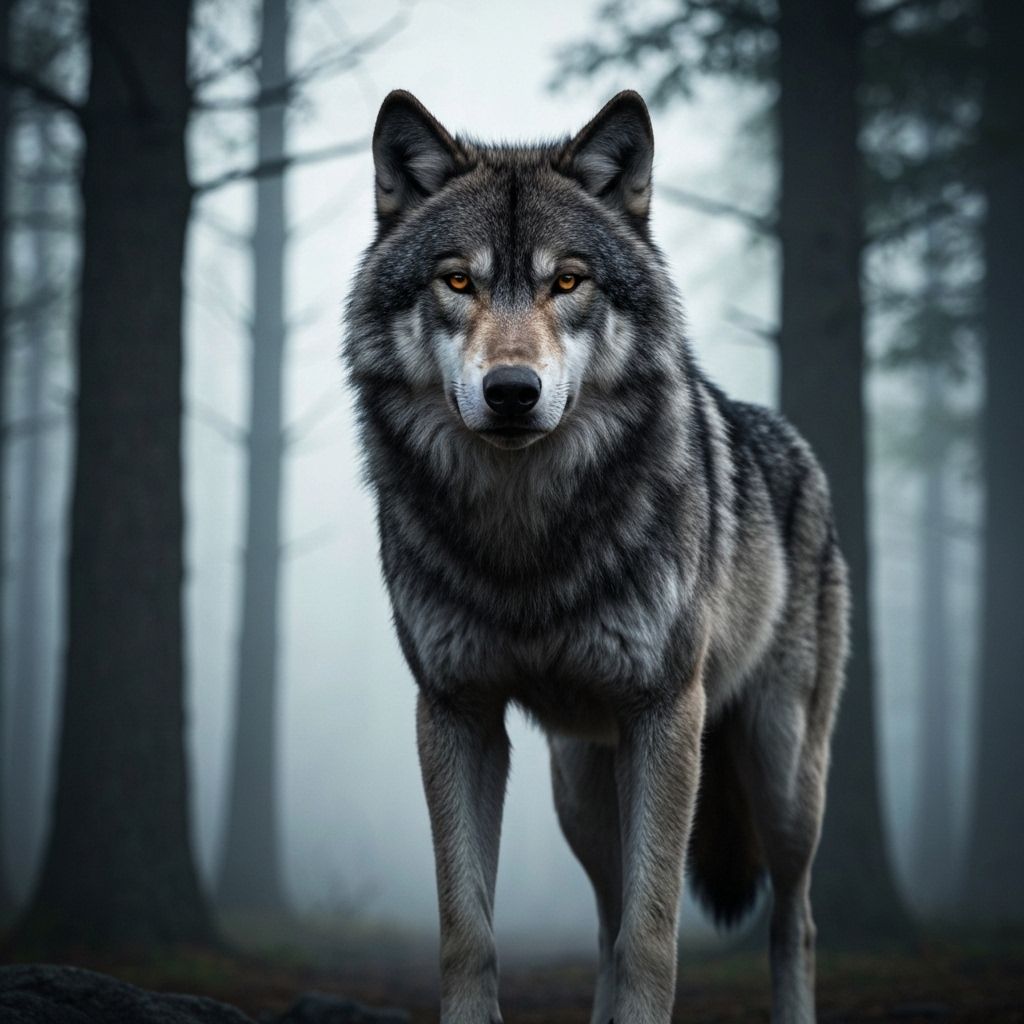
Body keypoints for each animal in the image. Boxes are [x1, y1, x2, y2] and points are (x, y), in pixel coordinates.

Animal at [343, 89, 848, 1024]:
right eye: (458, 281)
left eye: (567, 281)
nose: (512, 391)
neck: (525, 544)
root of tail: (796, 446)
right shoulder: (457, 712)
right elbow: (469, 931)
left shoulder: (664, 714)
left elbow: (655, 938)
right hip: (580, 791)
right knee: (608, 920)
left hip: (781, 773)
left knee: (791, 921)